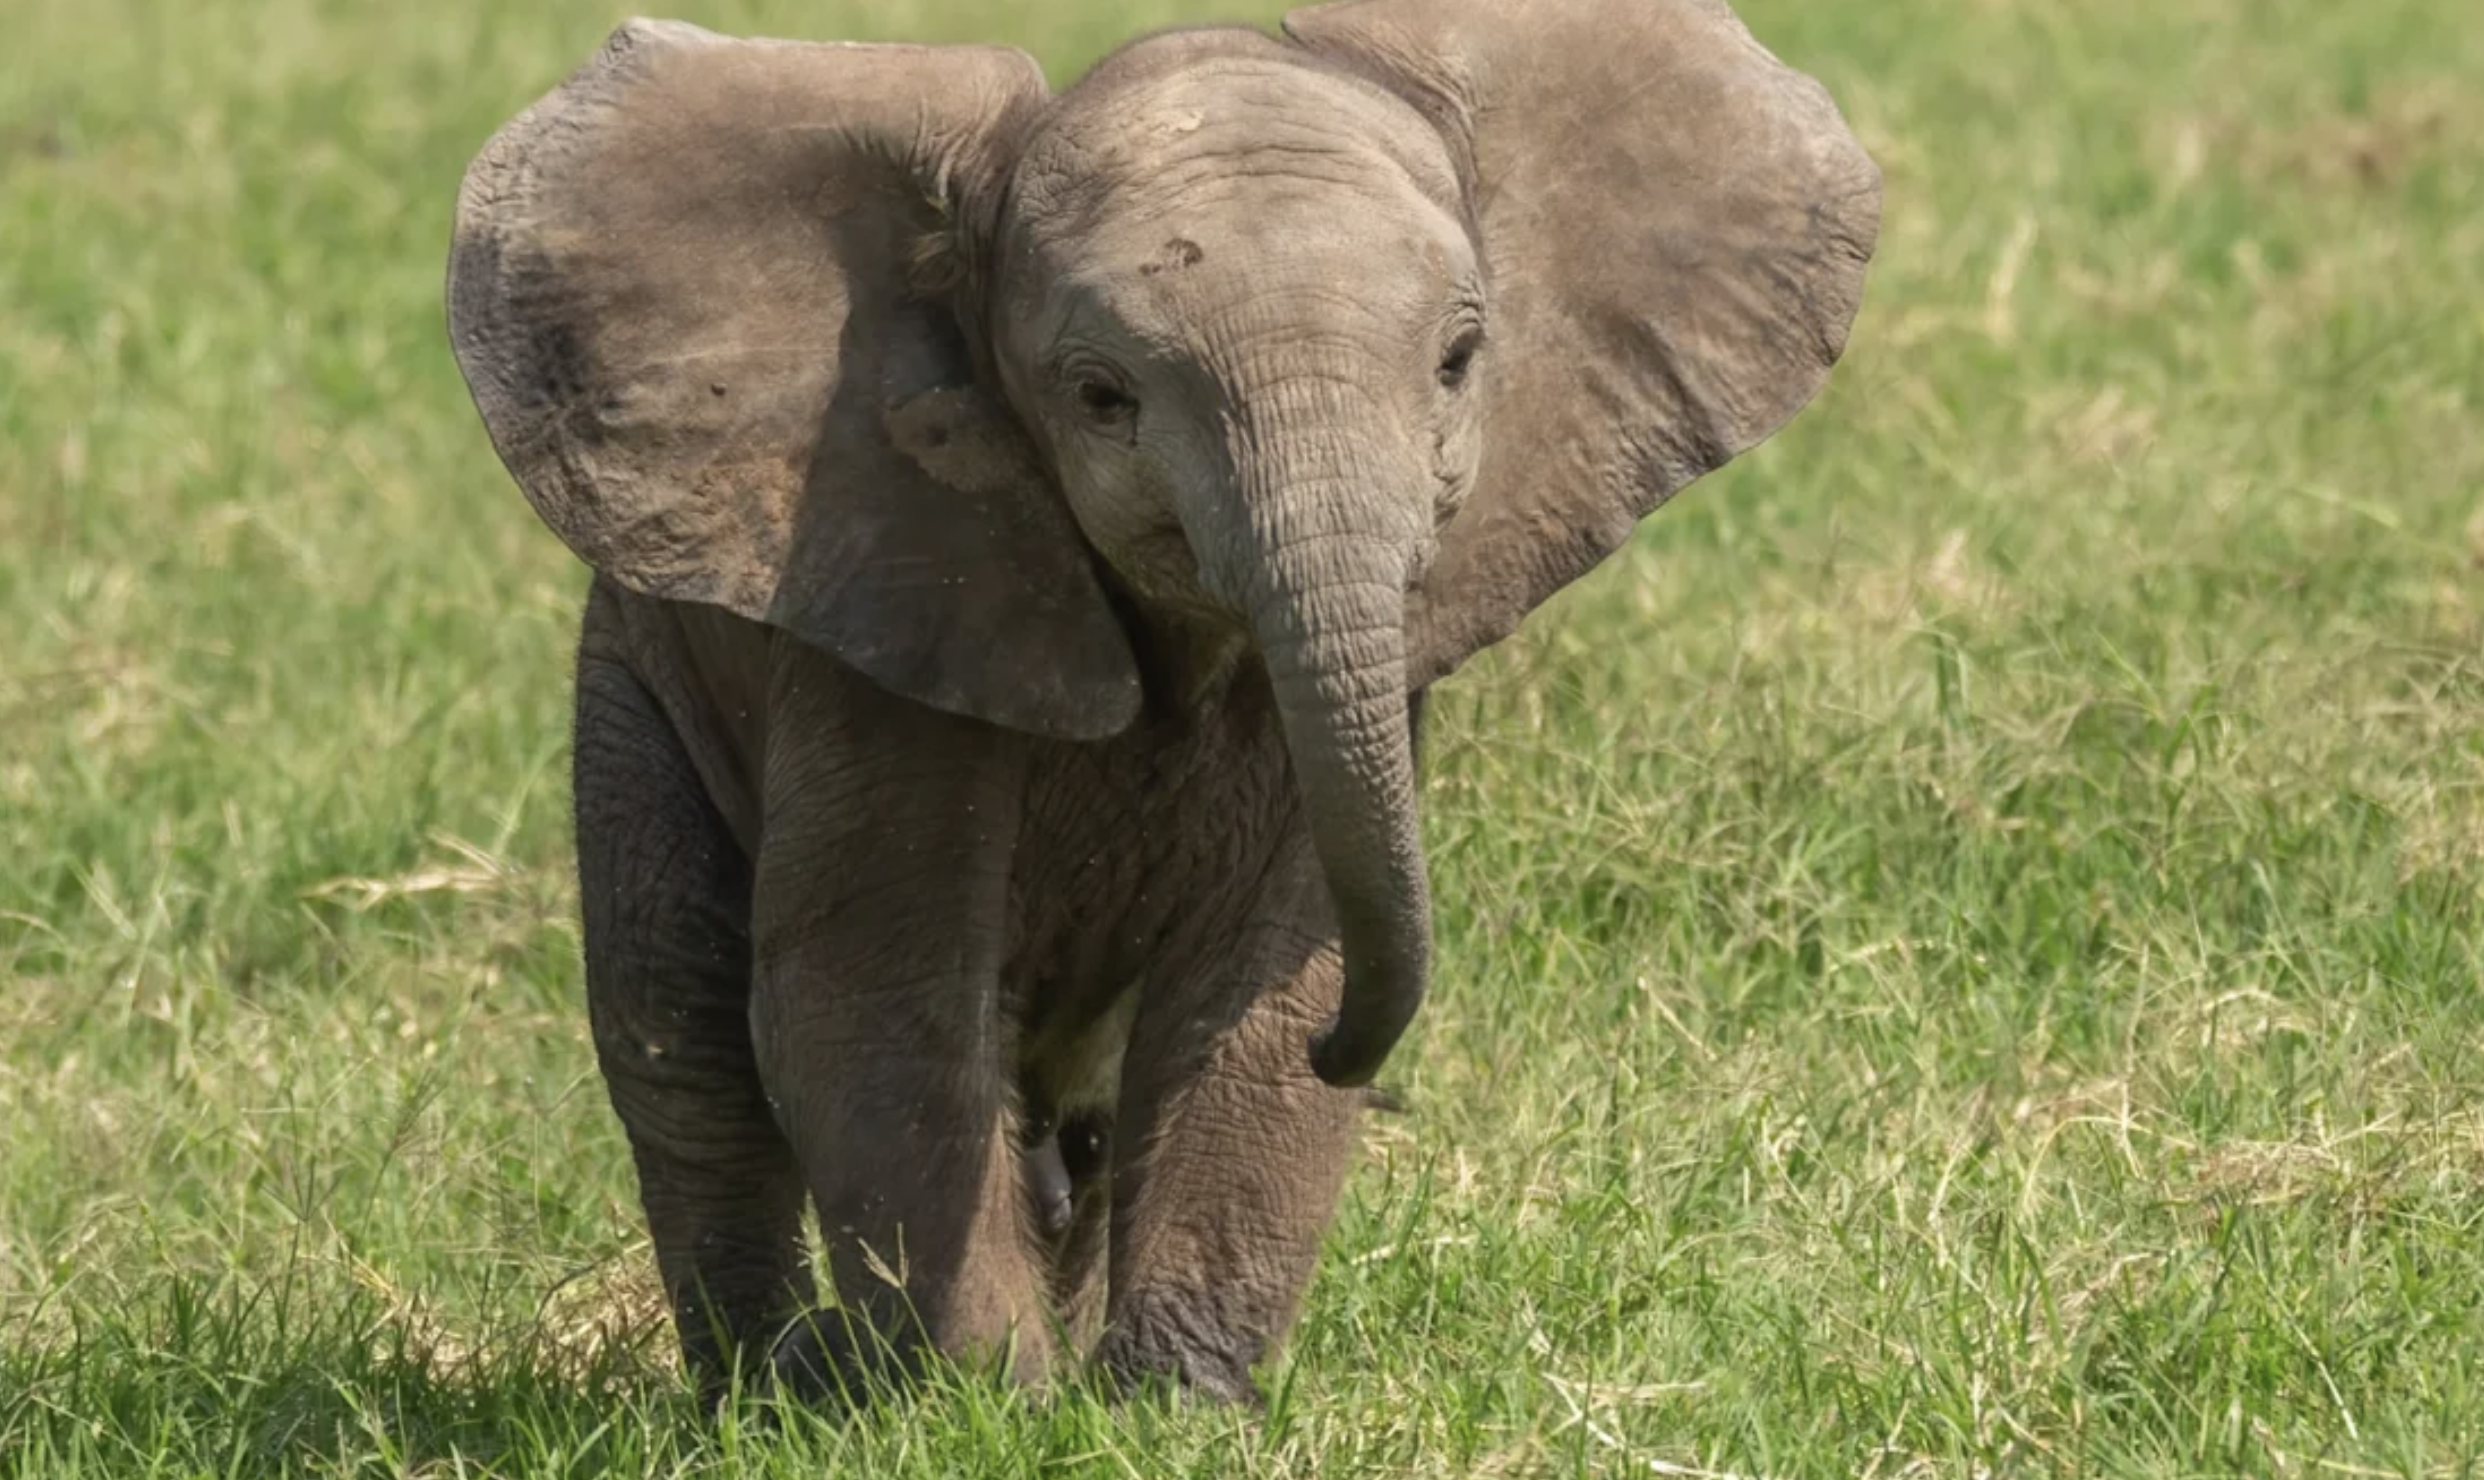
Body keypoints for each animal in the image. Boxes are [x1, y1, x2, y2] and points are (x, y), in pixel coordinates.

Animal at [444, 0, 1879, 1405]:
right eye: (1101, 399)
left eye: (1462, 361)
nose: (1365, 1059)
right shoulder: (893, 604)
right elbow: (872, 994)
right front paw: (986, 1412)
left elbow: (1263, 980)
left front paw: (1163, 1409)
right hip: (636, 677)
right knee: (681, 1037)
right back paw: (771, 1389)